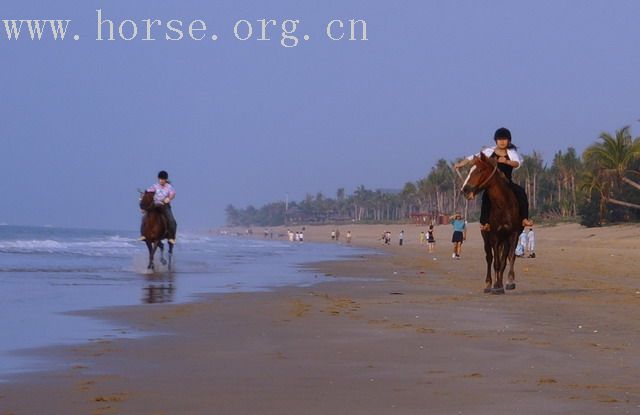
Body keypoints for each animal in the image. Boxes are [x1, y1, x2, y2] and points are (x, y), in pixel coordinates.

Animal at [462, 154, 524, 296]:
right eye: (469, 170)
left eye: (479, 170)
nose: (465, 190)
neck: (502, 204)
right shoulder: (494, 235)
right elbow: (495, 262)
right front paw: (496, 286)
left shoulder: (513, 234)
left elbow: (509, 258)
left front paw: (509, 282)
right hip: (486, 236)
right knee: (489, 258)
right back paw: (488, 284)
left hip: (504, 239)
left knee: (503, 259)